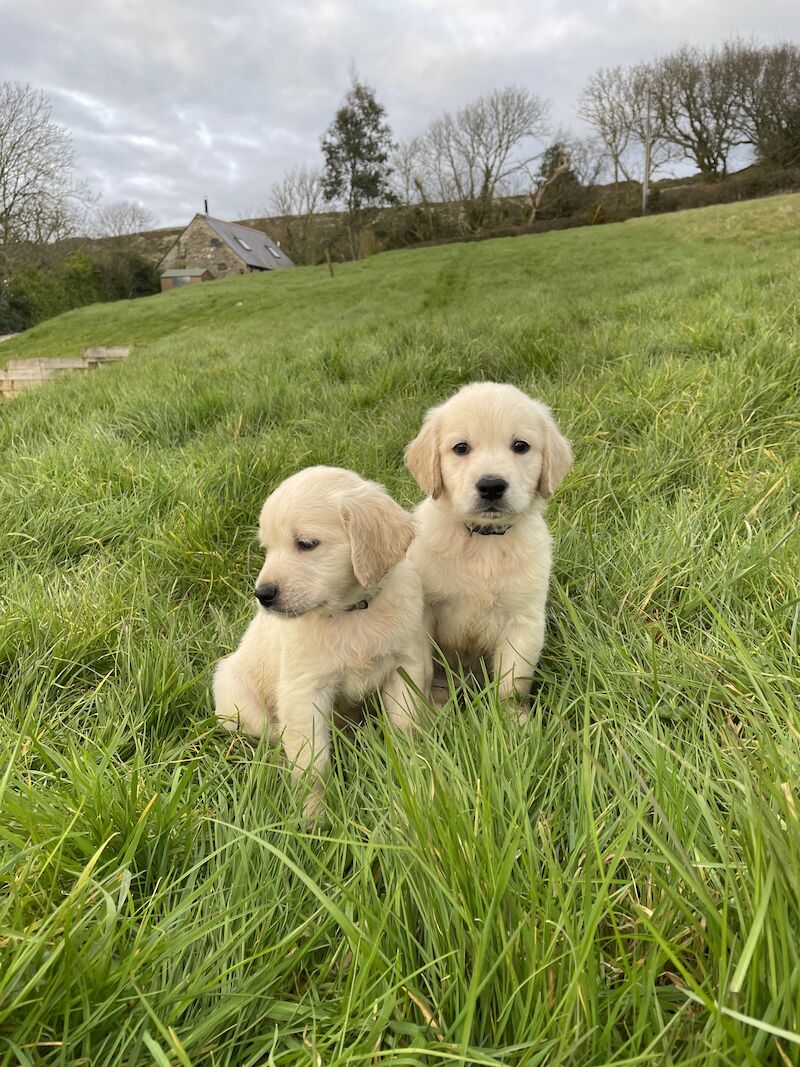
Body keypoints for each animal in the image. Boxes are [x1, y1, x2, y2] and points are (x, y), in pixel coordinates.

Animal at [213, 467, 433, 815]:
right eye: (267, 548)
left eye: (306, 544)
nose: (263, 595)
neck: (352, 610)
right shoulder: (303, 693)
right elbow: (311, 767)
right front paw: (313, 817)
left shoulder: (406, 668)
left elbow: (405, 729)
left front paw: (412, 781)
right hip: (234, 697)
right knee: (269, 737)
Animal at [407, 381, 576, 699]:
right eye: (461, 448)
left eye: (520, 446)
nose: (491, 485)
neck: (483, 538)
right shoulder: (423, 615)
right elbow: (421, 673)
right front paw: (426, 712)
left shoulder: (523, 621)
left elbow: (512, 682)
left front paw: (511, 713)